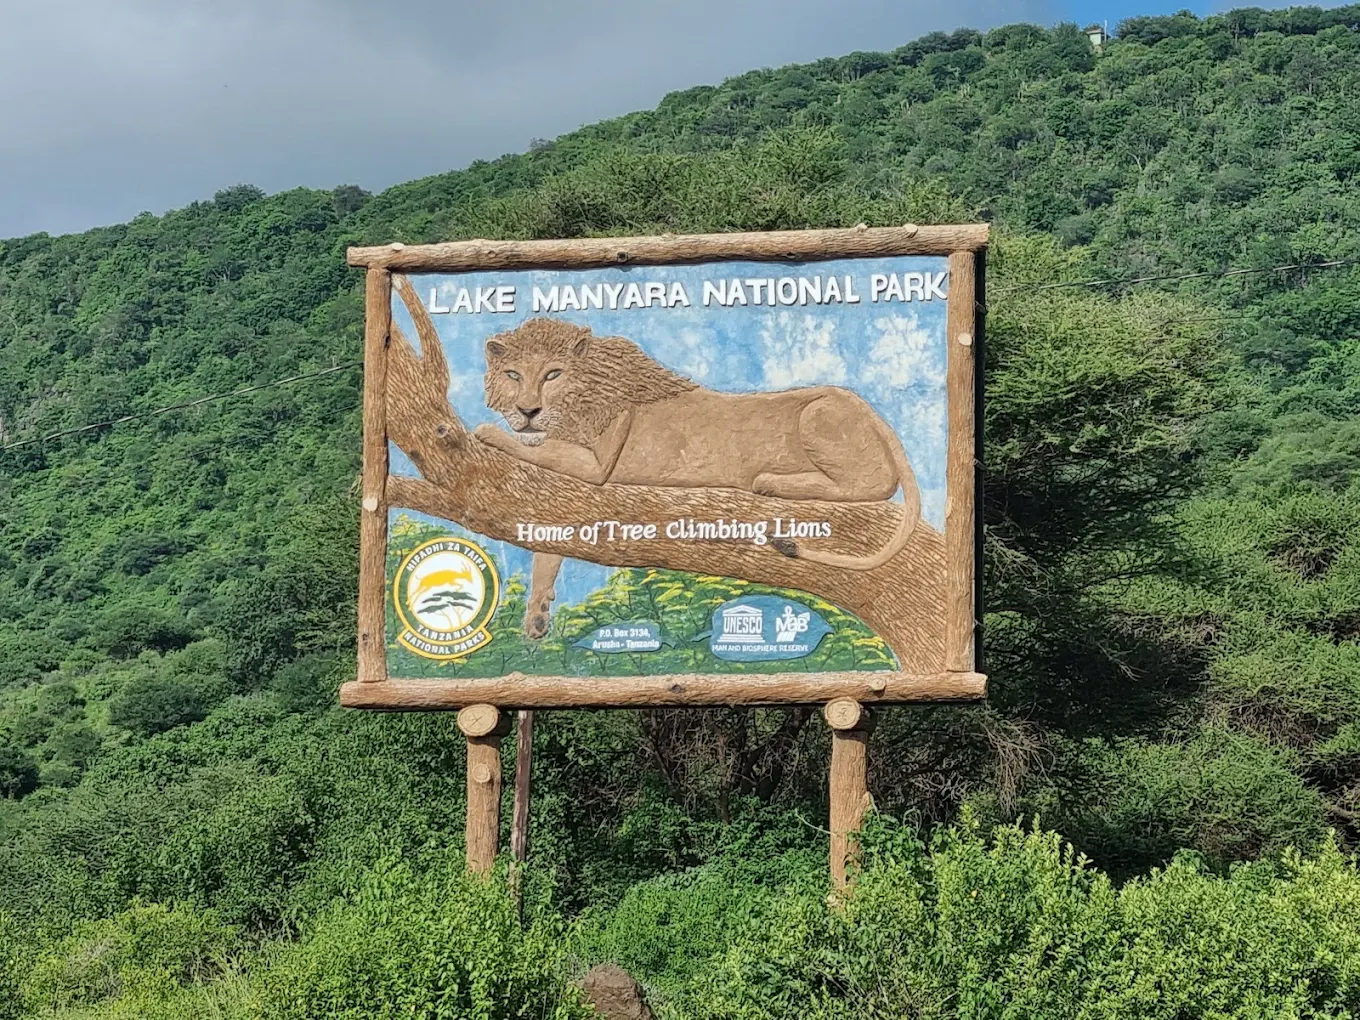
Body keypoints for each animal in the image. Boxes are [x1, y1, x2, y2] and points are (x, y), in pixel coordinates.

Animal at [472, 317, 921, 639]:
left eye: (552, 374)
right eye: (513, 375)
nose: (527, 411)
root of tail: (872, 412)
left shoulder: (598, 467)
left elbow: (532, 448)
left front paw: (488, 432)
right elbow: (546, 552)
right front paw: (537, 616)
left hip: (818, 412)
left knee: (876, 484)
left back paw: (768, 481)